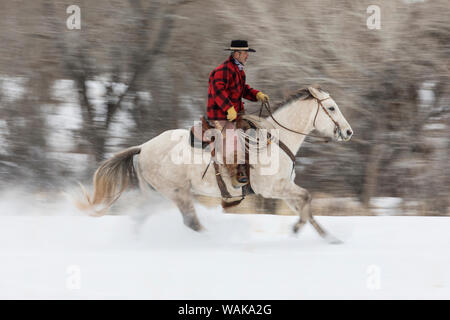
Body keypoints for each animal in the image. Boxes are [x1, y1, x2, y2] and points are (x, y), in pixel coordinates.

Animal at [77, 85, 352, 242]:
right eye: (331, 108)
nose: (348, 132)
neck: (276, 139)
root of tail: (144, 147)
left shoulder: (284, 188)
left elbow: (305, 206)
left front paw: (329, 238)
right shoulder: (273, 188)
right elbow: (306, 198)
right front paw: (297, 229)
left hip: (157, 195)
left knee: (140, 218)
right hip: (178, 192)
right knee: (191, 222)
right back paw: (215, 240)